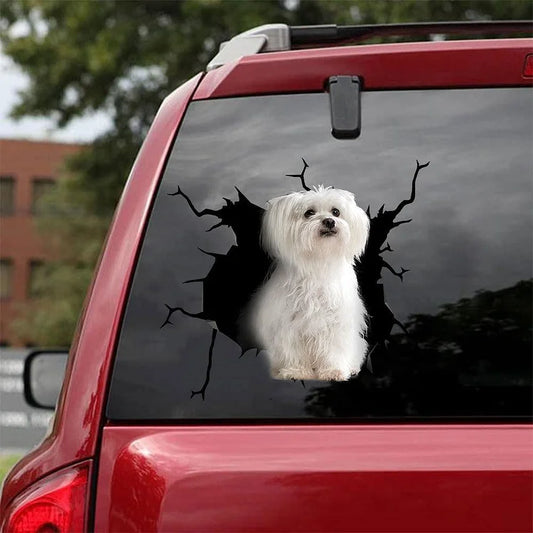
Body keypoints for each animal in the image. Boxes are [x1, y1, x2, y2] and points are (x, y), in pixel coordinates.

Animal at [250, 185, 370, 380]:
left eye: (336, 212)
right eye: (309, 213)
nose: (329, 221)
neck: (318, 263)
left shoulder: (336, 323)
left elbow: (334, 349)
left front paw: (333, 371)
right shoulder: (289, 324)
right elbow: (293, 351)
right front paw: (296, 371)